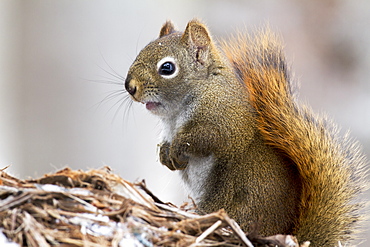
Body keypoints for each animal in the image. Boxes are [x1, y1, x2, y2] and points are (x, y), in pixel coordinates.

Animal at [123, 19, 368, 247]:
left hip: (229, 202)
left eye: (167, 68)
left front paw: (178, 148)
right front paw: (165, 154)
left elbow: (203, 139)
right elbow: (166, 143)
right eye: (142, 50)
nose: (130, 87)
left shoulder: (223, 122)